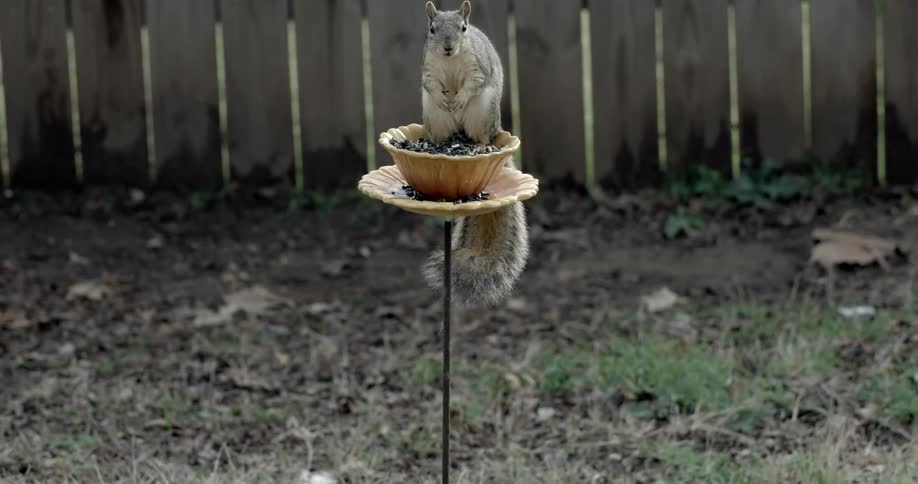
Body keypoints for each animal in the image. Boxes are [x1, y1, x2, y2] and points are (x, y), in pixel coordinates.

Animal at [419, 0, 529, 307]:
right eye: (432, 29)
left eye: (463, 28)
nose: (447, 47)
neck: (451, 61)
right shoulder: (429, 69)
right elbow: (430, 82)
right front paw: (446, 97)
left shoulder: (478, 68)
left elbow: (473, 84)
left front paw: (459, 98)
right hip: (434, 115)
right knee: (441, 129)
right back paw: (437, 143)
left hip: (482, 113)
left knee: (480, 134)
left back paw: (480, 146)